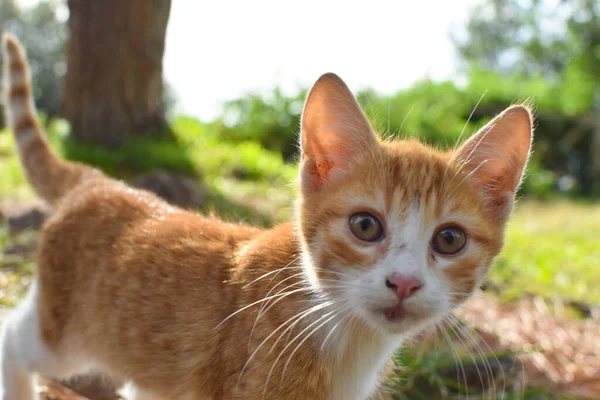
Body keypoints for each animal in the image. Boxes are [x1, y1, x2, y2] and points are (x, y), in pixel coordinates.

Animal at [1, 34, 536, 400]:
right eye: (365, 226)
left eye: (449, 240)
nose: (403, 283)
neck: (340, 329)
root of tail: (100, 181)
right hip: (62, 331)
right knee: (15, 339)